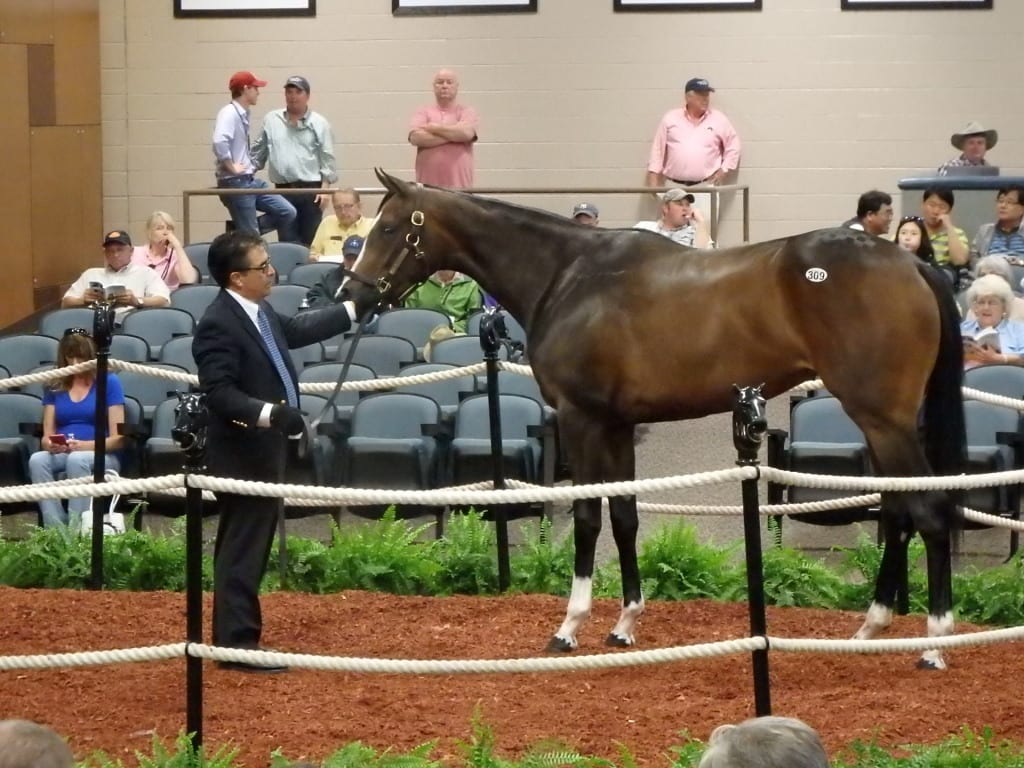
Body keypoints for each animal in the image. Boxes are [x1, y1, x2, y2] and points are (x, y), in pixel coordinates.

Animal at [348, 171, 962, 671]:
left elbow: (587, 517)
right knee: (898, 511)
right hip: (879, 423)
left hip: (883, 420)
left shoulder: (581, 420)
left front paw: (570, 627)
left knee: (928, 510)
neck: (568, 275)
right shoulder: (619, 425)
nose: (350, 295)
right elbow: (625, 516)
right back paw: (872, 627)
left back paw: (933, 645)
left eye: (389, 228)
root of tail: (912, 263)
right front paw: (624, 624)